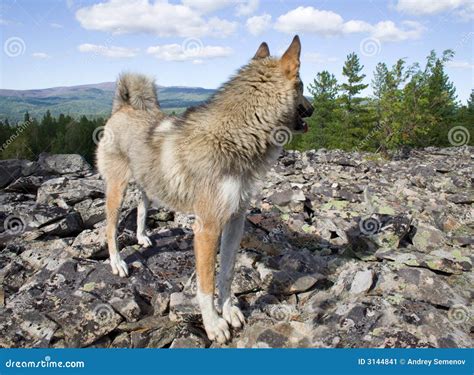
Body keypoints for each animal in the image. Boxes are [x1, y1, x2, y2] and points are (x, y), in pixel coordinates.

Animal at [96, 36, 314, 344]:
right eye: (302, 85)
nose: (313, 108)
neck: (236, 138)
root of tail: (122, 108)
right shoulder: (207, 227)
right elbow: (206, 285)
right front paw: (214, 324)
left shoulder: (235, 220)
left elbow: (227, 273)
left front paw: (229, 310)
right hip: (117, 190)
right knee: (110, 229)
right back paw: (117, 263)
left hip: (148, 185)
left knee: (141, 208)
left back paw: (142, 237)